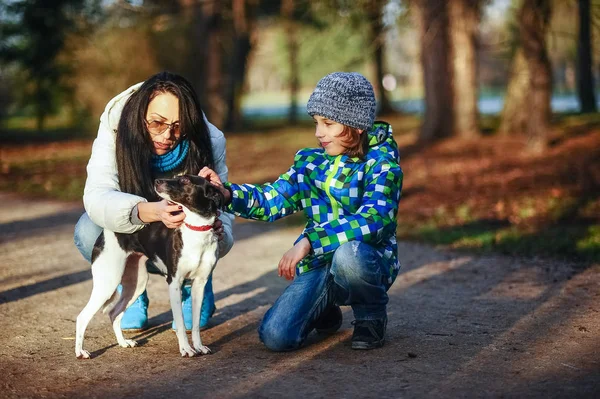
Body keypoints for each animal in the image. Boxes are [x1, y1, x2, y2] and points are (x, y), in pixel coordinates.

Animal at [75, 175, 224, 360]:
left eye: (185, 181)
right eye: (177, 177)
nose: (158, 181)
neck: (196, 231)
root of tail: (106, 232)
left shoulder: (199, 284)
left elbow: (195, 325)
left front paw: (199, 346)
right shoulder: (174, 283)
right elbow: (181, 324)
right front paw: (186, 349)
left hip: (136, 284)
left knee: (114, 313)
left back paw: (123, 343)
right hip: (108, 283)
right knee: (82, 317)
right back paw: (80, 352)